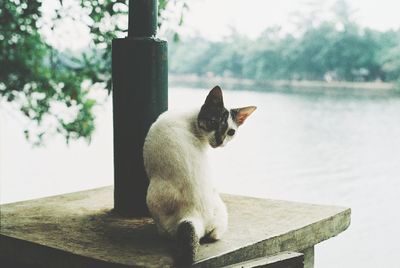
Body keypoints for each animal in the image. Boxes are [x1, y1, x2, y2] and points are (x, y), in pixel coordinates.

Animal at [143, 86, 256, 266]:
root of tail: (193, 217)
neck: (192, 117)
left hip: (151, 196)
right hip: (221, 213)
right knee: (213, 236)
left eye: (230, 132)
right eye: (213, 122)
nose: (220, 141)